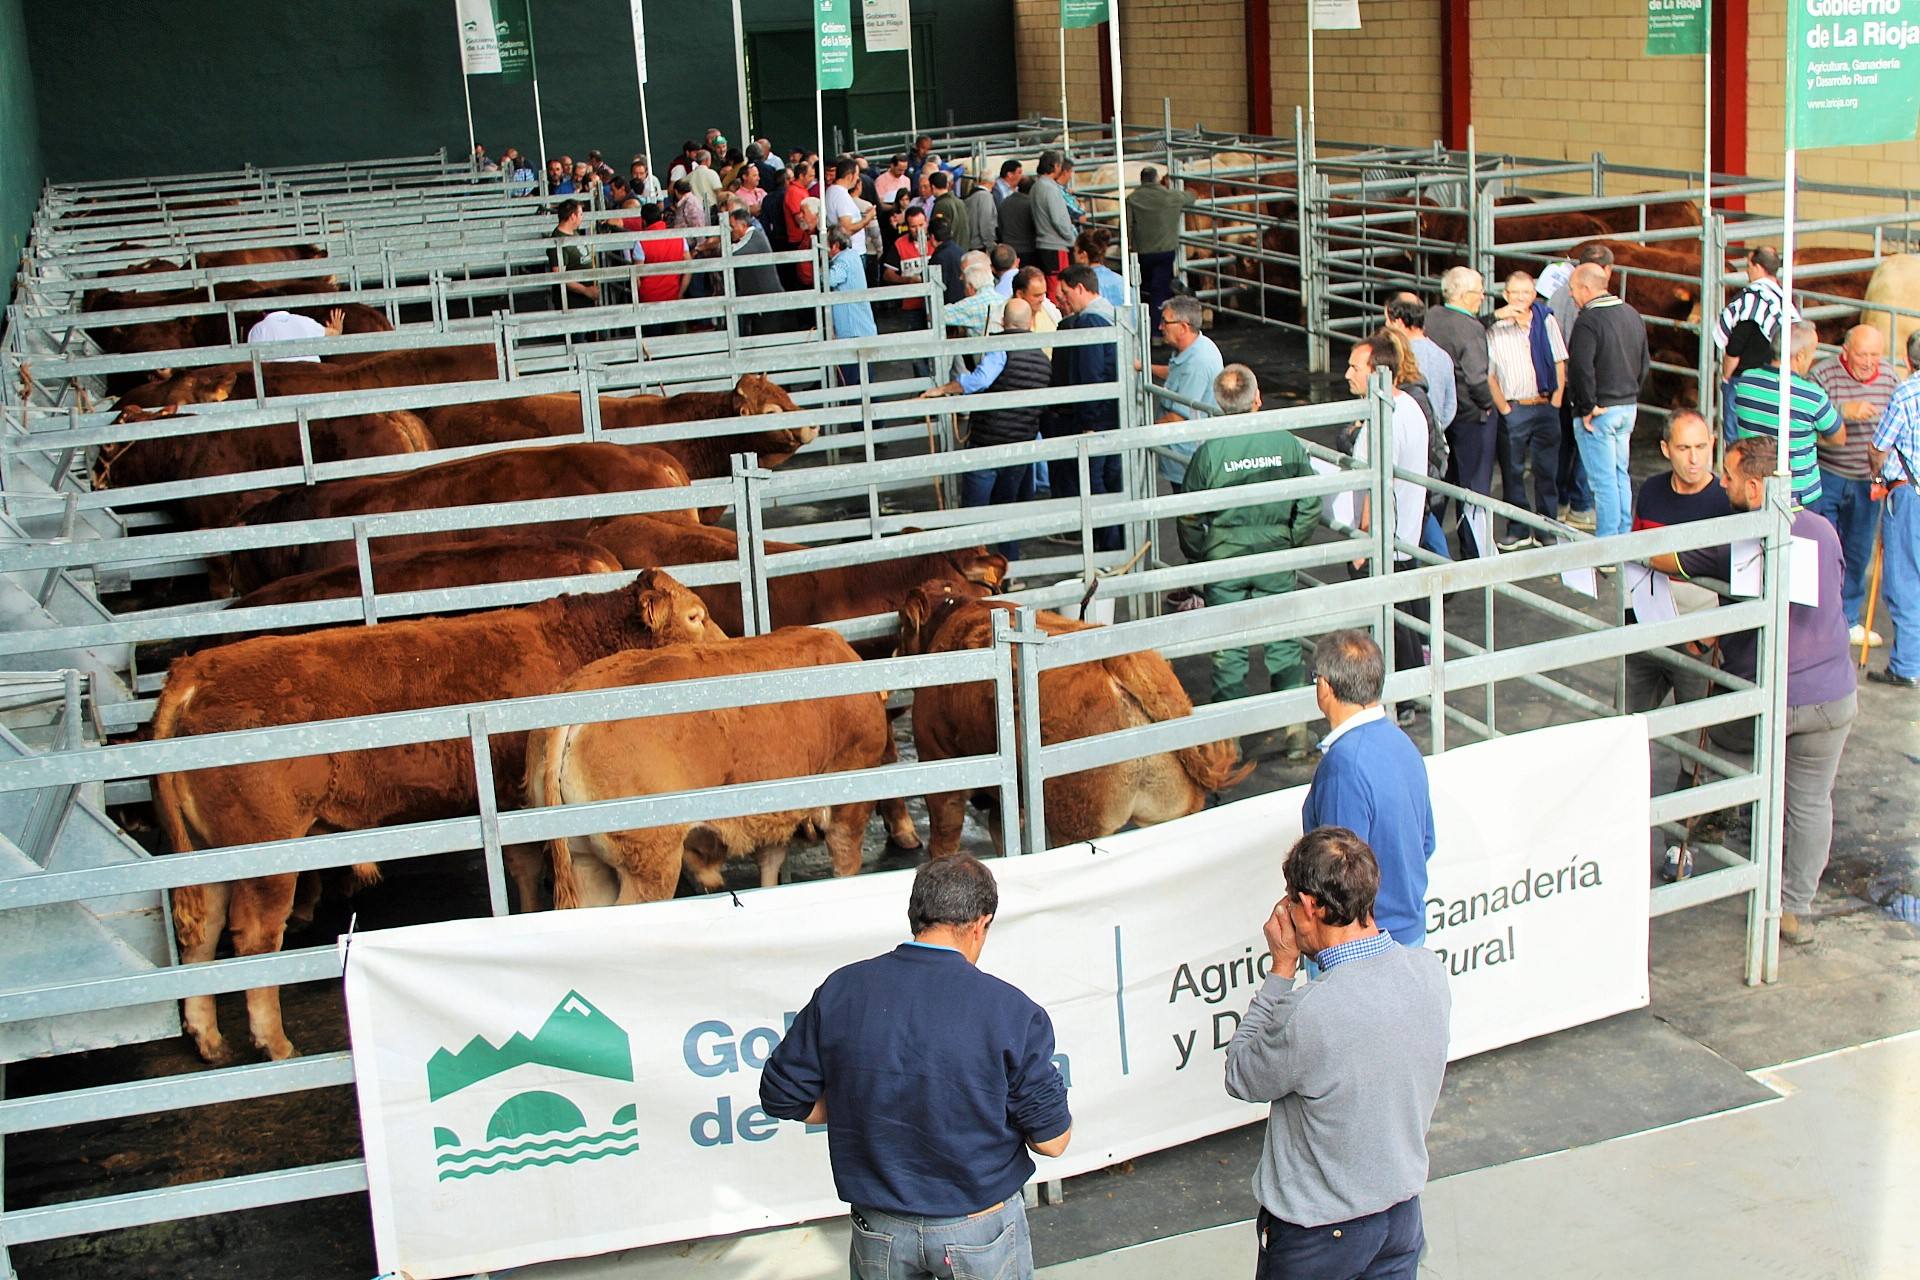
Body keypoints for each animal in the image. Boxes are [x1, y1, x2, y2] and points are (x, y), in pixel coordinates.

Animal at [153, 568, 721, 1059]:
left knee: (202, 928)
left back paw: (207, 1036)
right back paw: (273, 1041)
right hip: (268, 855)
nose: (723, 648)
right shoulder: (516, 793)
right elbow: (527, 864)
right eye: (694, 616)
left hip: (206, 854)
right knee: (254, 937)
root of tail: (193, 672)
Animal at [529, 625, 894, 905]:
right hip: (650, 863)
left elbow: (770, 864)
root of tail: (577, 692)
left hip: (585, 862)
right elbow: (845, 863)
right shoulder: (850, 799)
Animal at [894, 583, 1251, 859]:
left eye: (902, 624)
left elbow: (945, 838)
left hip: (1075, 821)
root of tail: (1117, 660)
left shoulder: (938, 762)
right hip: (1171, 808)